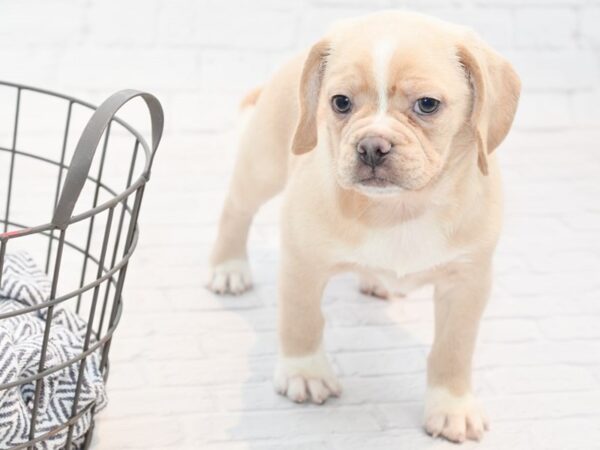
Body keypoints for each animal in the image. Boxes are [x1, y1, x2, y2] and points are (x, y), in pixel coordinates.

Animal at [206, 9, 520, 442]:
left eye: (427, 105)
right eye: (340, 103)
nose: (372, 146)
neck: (400, 209)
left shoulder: (467, 282)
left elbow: (453, 349)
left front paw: (451, 406)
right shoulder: (302, 264)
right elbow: (302, 320)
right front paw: (305, 372)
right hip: (262, 165)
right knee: (236, 209)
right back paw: (229, 267)